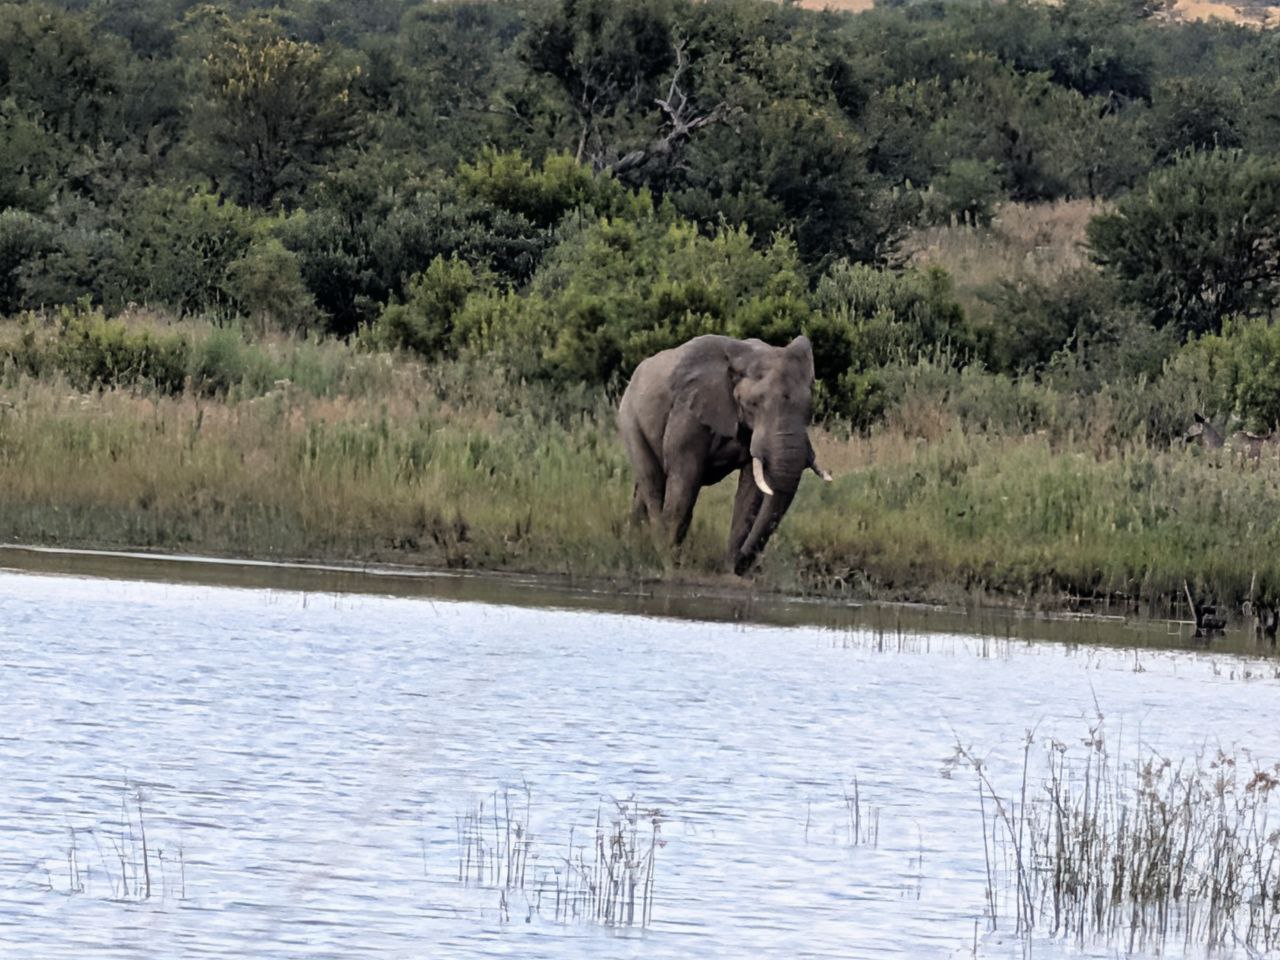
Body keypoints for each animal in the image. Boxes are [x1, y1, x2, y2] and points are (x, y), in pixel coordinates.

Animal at [618, 334, 831, 575]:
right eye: (753, 404)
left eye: (810, 408)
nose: (743, 564)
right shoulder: (689, 411)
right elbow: (685, 480)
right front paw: (672, 566)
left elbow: (750, 492)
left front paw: (730, 572)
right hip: (630, 418)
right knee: (653, 483)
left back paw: (632, 547)